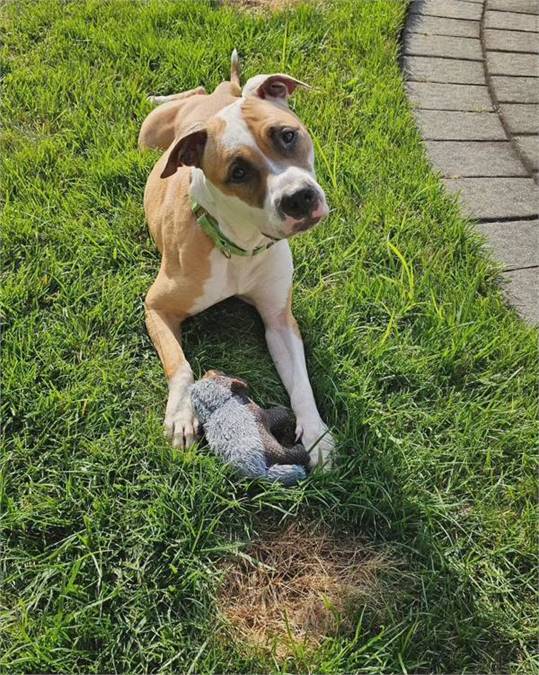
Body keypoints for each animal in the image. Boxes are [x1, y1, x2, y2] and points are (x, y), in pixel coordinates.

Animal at [139, 48, 334, 470]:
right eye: (239, 171)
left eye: (287, 135)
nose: (298, 198)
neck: (240, 245)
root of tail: (222, 93)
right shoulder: (156, 307)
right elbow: (180, 365)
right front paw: (181, 415)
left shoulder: (279, 320)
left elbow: (301, 382)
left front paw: (316, 434)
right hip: (147, 135)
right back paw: (158, 97)